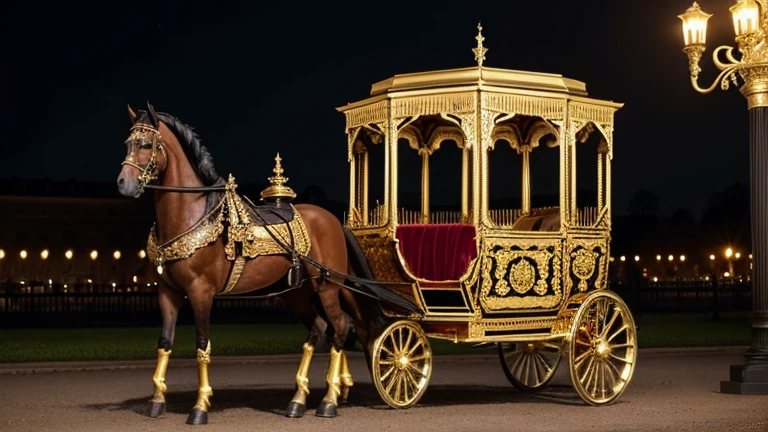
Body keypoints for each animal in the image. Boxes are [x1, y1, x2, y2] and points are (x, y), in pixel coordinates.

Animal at [115, 103, 414, 424]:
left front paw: (200, 406)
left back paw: (329, 401)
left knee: (342, 327)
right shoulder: (168, 293)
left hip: (327, 287)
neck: (196, 213)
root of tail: (334, 219)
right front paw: (157, 400)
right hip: (298, 293)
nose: (123, 183)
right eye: (128, 143)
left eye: (146, 144)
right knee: (322, 328)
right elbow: (165, 343)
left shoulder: (200, 292)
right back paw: (299, 400)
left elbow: (202, 345)